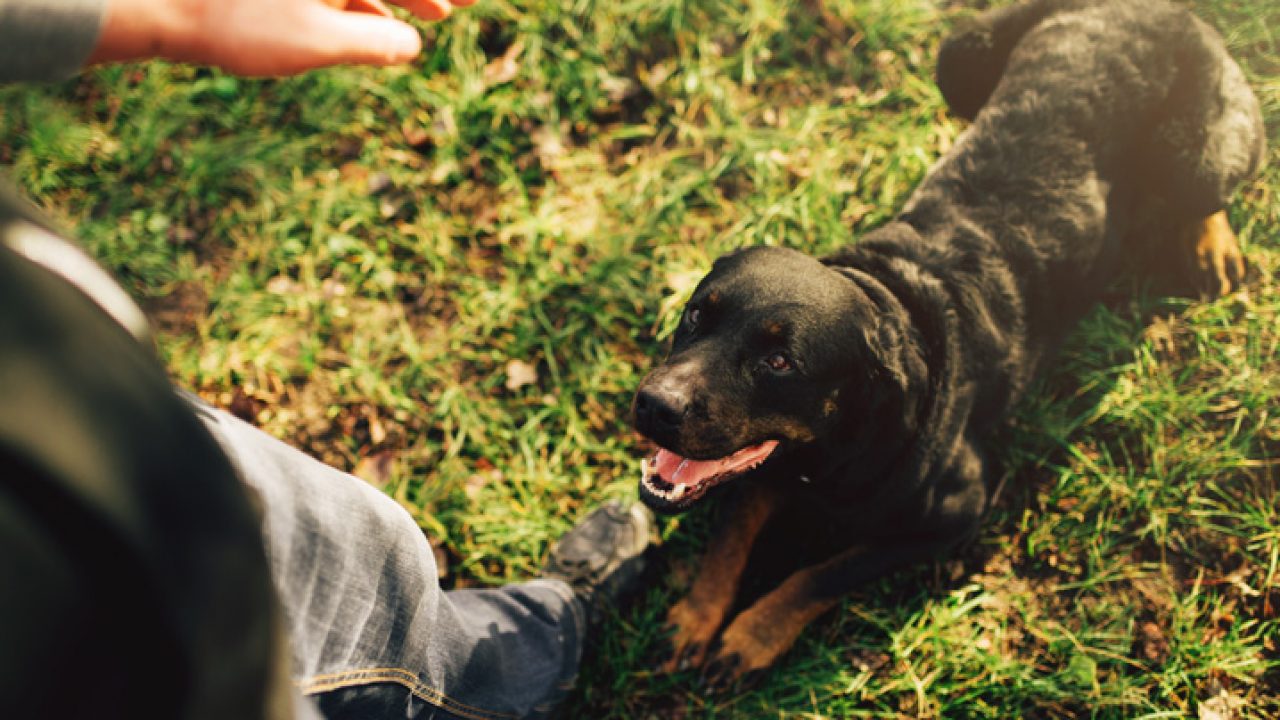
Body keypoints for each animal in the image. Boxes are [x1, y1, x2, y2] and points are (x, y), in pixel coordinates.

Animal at [629, 0, 1259, 686]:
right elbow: (733, 529)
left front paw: (752, 634)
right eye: (696, 314)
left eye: (779, 361)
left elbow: (825, 572)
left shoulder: (958, 509)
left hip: (1193, 158)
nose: (654, 404)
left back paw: (1212, 247)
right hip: (958, 56)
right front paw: (697, 615)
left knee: (1213, 187)